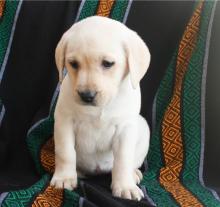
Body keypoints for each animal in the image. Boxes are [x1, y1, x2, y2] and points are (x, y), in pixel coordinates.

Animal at [50, 15, 150, 201]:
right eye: (73, 64)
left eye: (108, 63)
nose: (87, 95)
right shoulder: (64, 121)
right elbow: (65, 152)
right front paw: (64, 178)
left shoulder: (125, 128)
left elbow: (123, 159)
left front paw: (125, 186)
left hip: (144, 129)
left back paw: (133, 175)